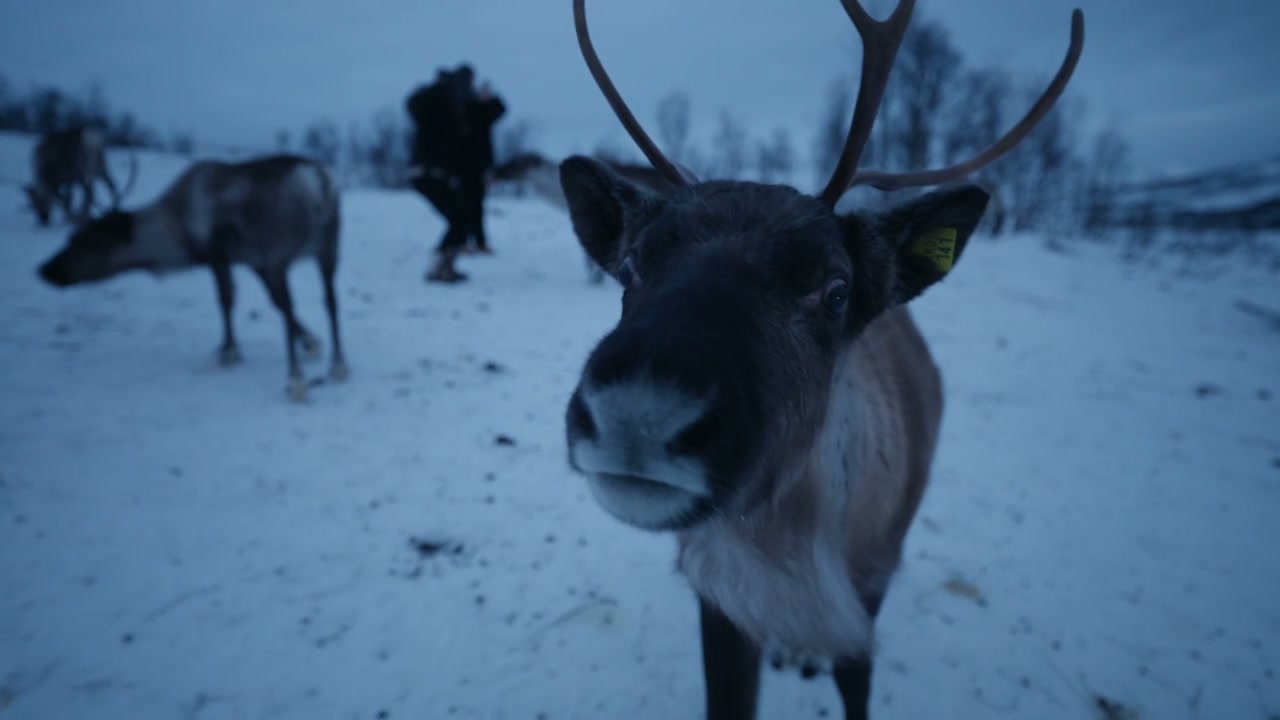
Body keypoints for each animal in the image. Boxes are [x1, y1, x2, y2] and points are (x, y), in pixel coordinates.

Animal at [36, 154, 347, 403]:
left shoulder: (221, 256)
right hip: (328, 247)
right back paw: (338, 366)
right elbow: (272, 302)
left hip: (279, 254)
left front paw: (229, 352)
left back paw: (295, 380)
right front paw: (311, 341)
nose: (46, 270)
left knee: (292, 305)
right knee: (330, 300)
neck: (175, 231)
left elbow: (227, 299)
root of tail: (317, 181)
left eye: (86, 241)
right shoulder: (251, 260)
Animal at [558, 1, 1084, 718]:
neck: (792, 559)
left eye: (835, 290)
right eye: (632, 263)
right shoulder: (719, 598)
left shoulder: (865, 596)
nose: (639, 412)